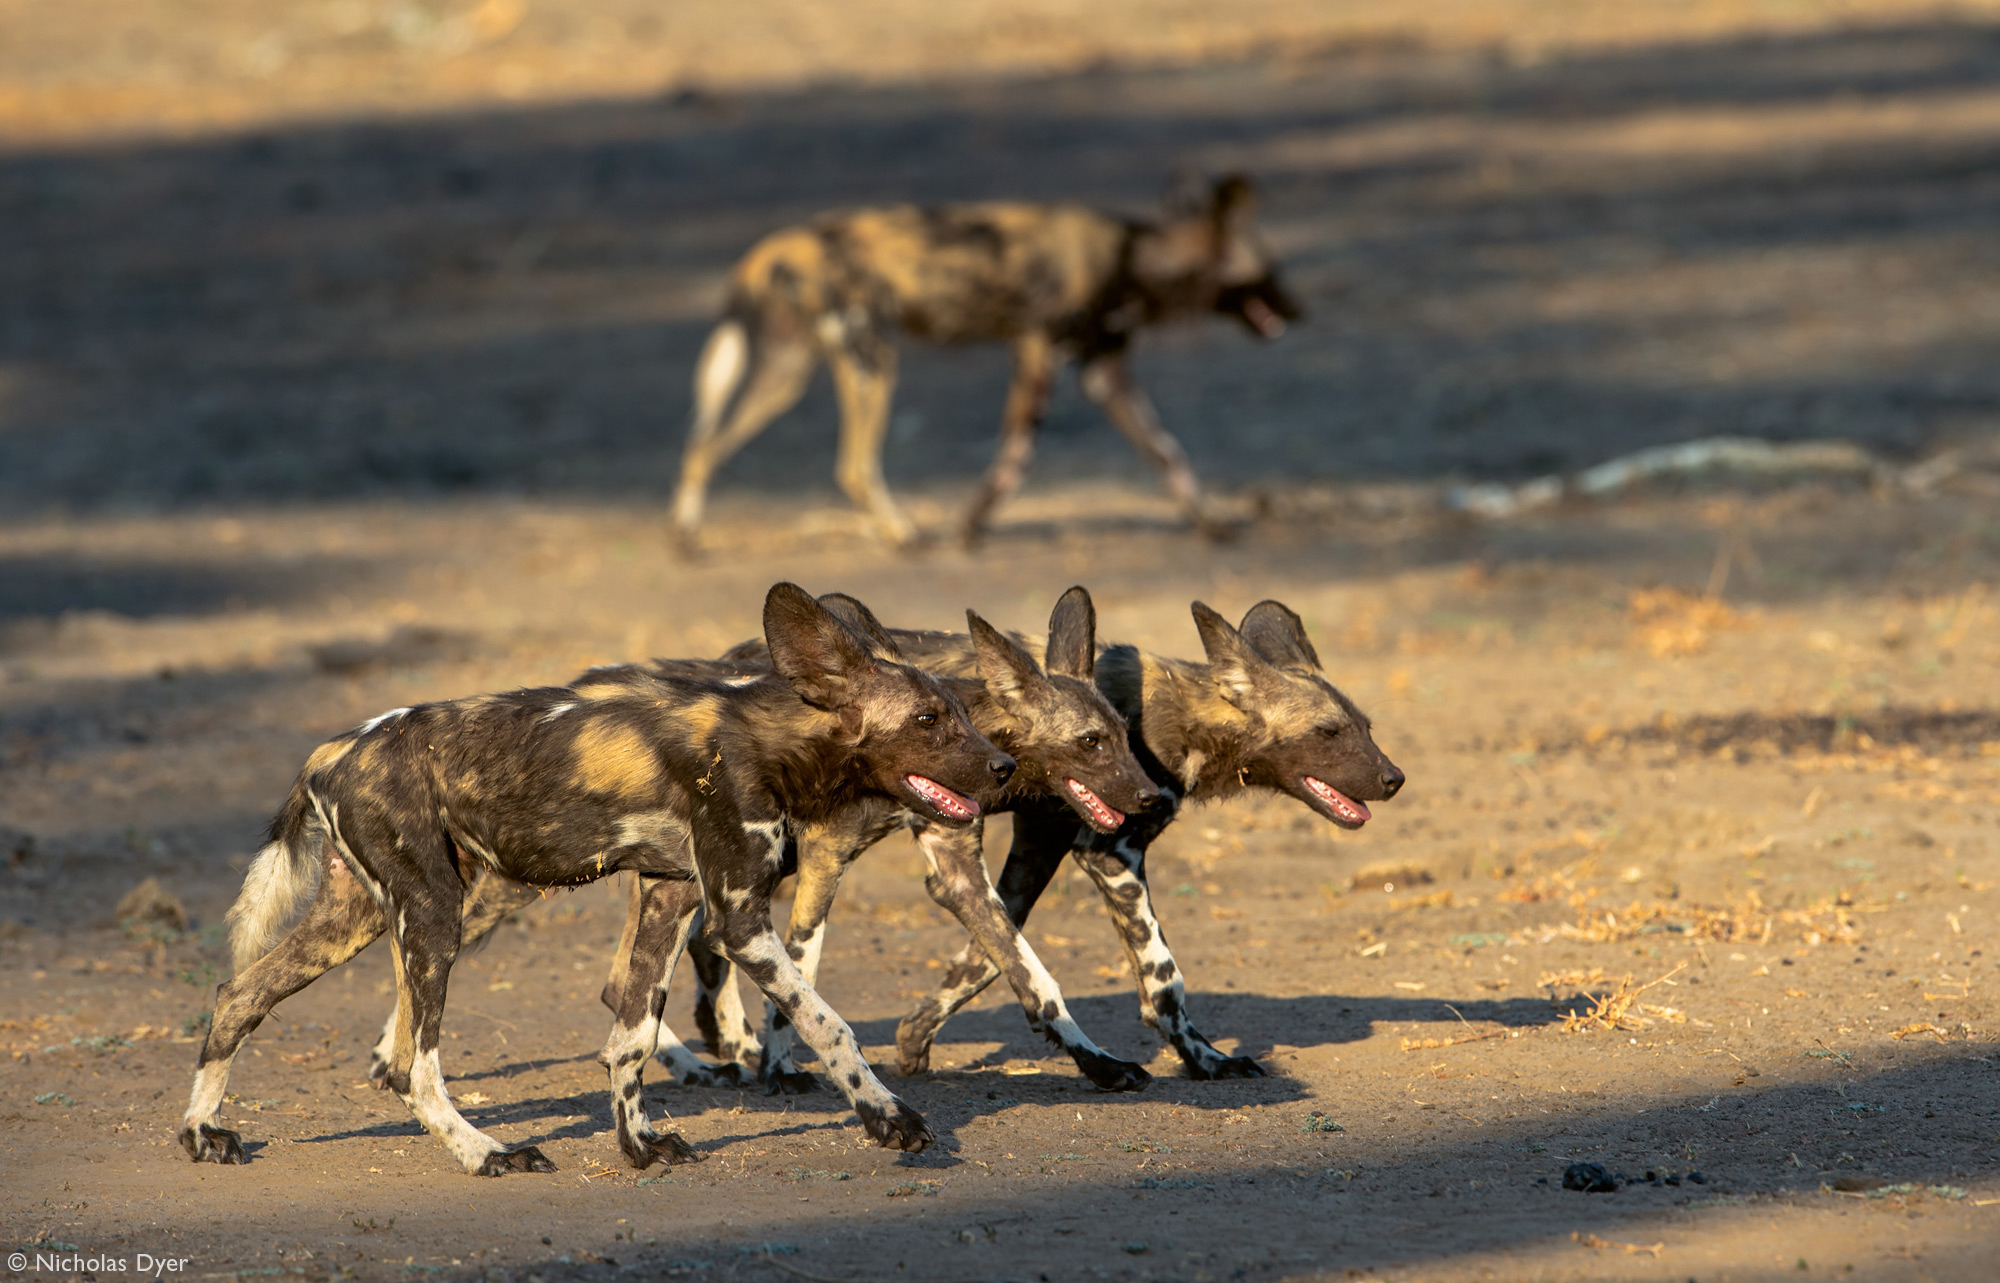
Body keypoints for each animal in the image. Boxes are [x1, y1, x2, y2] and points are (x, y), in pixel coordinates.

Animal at [178, 583, 1008, 1167]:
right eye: (930, 720)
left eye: (964, 712)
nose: (1004, 766)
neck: (767, 738)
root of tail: (332, 749)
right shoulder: (740, 918)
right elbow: (826, 1022)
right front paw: (888, 1118)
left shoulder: (672, 896)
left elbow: (632, 1034)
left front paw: (638, 1146)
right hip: (436, 916)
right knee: (415, 1065)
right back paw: (486, 1153)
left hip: (360, 916)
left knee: (239, 995)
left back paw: (203, 1130)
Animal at [664, 171, 1304, 547]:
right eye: (1273, 269)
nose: (1302, 312)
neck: (1135, 257)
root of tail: (769, 248)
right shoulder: (1037, 352)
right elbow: (1013, 457)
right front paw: (971, 527)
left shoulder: (1104, 373)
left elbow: (1170, 455)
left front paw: (1213, 523)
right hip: (864, 364)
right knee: (847, 465)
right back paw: (902, 534)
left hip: (799, 367)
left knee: (701, 444)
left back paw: (686, 536)